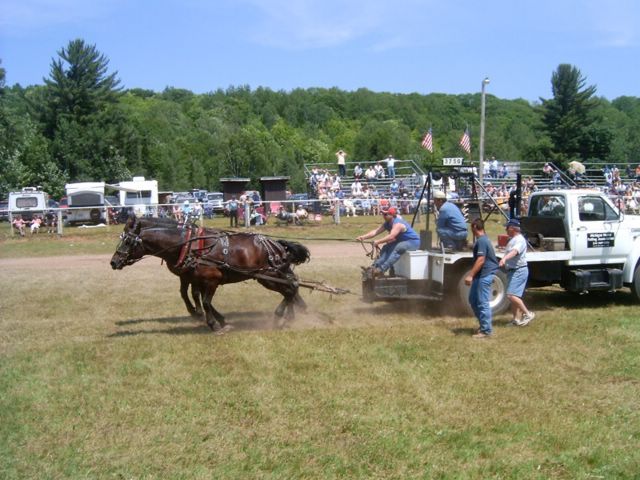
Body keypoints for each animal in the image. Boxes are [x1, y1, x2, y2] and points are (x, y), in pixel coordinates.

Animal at [110, 217, 310, 332]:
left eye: (128, 241)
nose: (113, 262)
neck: (186, 244)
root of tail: (276, 244)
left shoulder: (211, 280)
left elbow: (205, 301)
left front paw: (212, 322)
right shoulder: (191, 277)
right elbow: (191, 295)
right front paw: (211, 317)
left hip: (267, 276)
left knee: (290, 289)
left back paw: (281, 317)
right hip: (273, 275)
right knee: (292, 286)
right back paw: (291, 315)